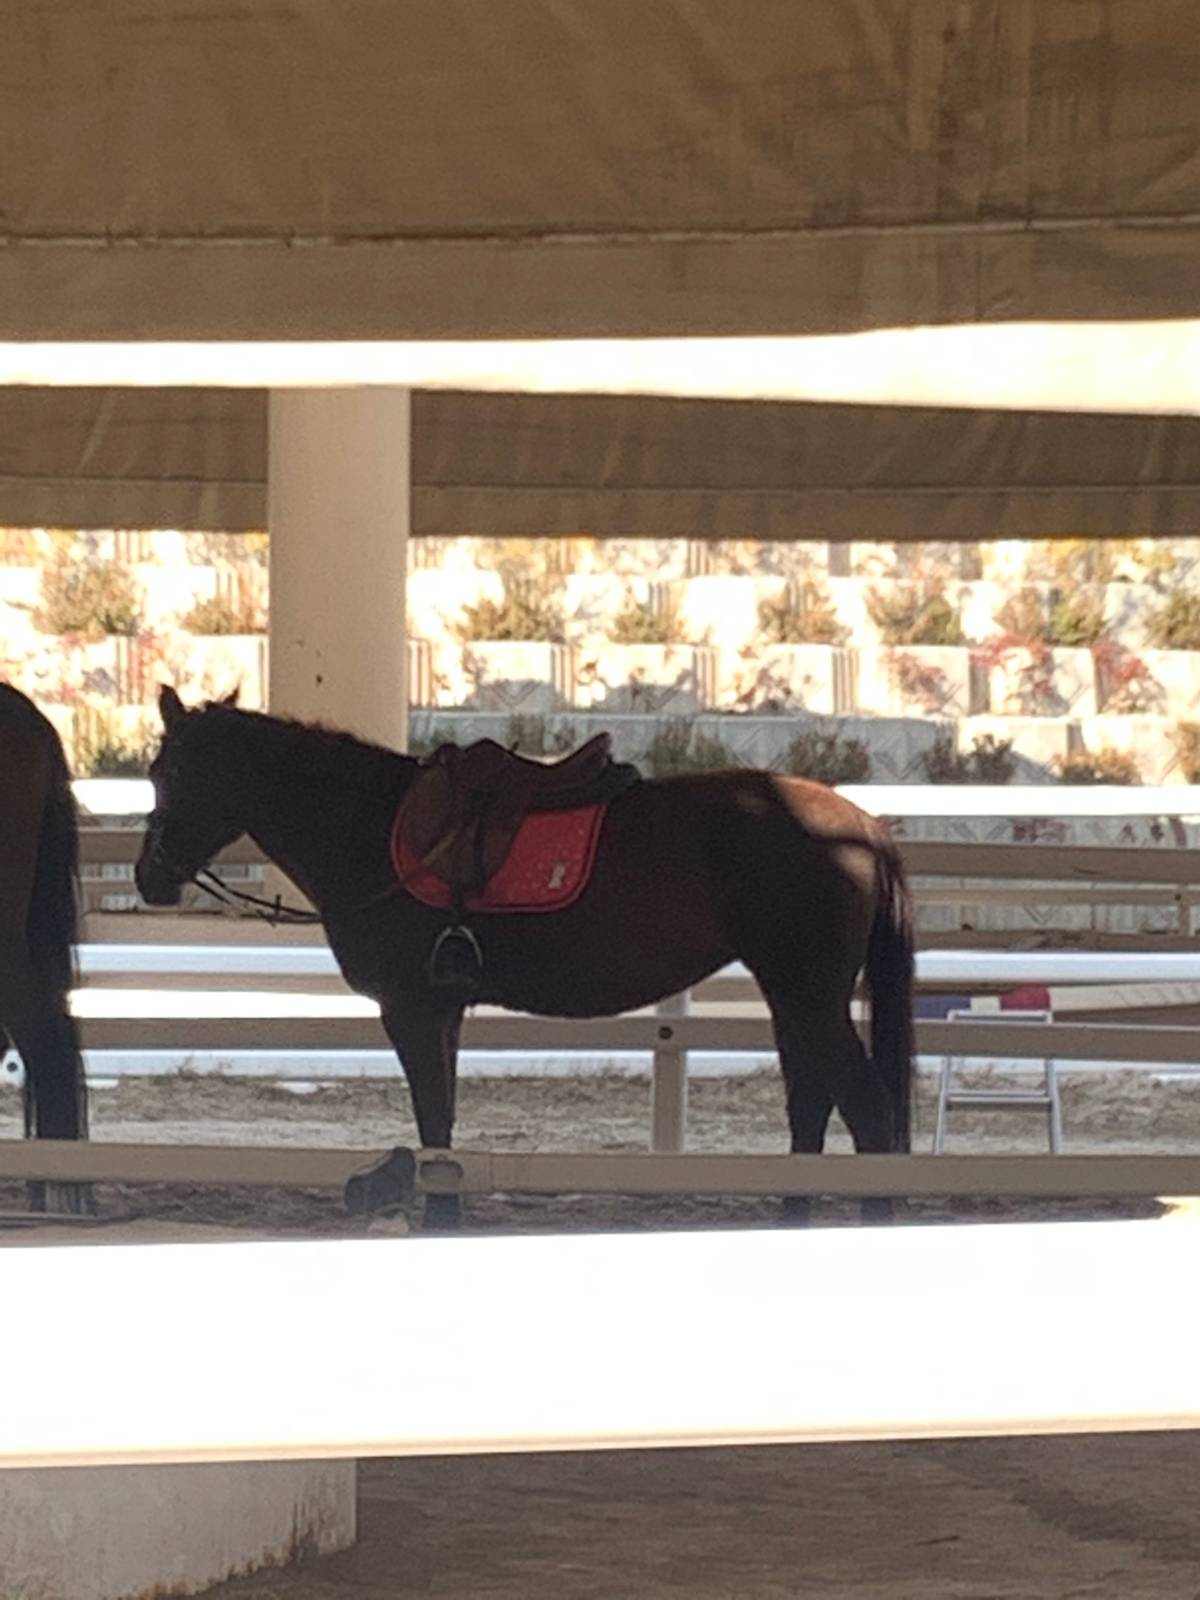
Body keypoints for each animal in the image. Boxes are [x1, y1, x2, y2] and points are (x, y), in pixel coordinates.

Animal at [136, 684, 915, 1222]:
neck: (374, 828)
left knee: (868, 1117)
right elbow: (441, 1124)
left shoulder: (411, 1009)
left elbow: (434, 1124)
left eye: (170, 772)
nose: (150, 877)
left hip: (809, 998)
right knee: (810, 1110)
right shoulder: (443, 1009)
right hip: (795, 999)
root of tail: (863, 827)